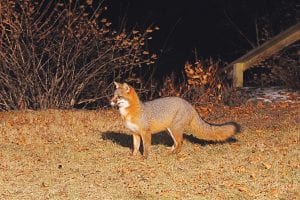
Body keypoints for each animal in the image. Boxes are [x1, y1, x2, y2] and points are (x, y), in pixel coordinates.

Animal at [110, 81, 239, 158]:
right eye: (113, 95)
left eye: (119, 97)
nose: (110, 101)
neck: (131, 112)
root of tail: (189, 105)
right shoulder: (135, 134)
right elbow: (136, 147)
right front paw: (133, 156)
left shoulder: (145, 132)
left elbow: (146, 147)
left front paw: (144, 158)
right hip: (170, 130)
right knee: (177, 142)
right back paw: (170, 150)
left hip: (174, 129)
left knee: (181, 142)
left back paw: (173, 153)